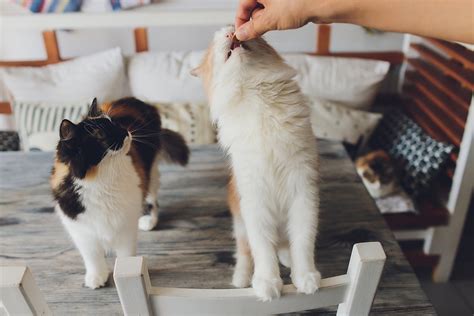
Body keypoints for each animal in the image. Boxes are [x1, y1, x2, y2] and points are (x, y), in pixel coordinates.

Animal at [51, 98, 189, 288]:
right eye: (100, 135)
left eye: (115, 124)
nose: (125, 131)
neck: (101, 182)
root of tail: (135, 100)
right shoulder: (82, 231)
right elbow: (92, 257)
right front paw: (96, 277)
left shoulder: (125, 224)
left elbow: (125, 255)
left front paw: (126, 271)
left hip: (151, 170)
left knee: (151, 197)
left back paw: (149, 220)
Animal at [193, 26, 322, 302]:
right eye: (216, 42)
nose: (232, 30)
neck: (255, 94)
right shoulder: (255, 200)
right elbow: (262, 249)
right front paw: (267, 283)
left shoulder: (303, 190)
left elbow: (303, 241)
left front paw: (305, 276)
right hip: (240, 222)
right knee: (245, 252)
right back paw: (242, 278)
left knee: (283, 244)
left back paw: (287, 258)